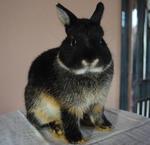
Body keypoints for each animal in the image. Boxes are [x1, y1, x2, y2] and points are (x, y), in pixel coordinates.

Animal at [24, 1, 113, 144]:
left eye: (101, 40)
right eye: (73, 41)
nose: (90, 60)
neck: (88, 73)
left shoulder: (98, 101)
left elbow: (98, 113)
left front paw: (105, 126)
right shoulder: (69, 104)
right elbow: (70, 118)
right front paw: (76, 139)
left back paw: (87, 123)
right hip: (37, 107)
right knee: (45, 122)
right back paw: (57, 129)